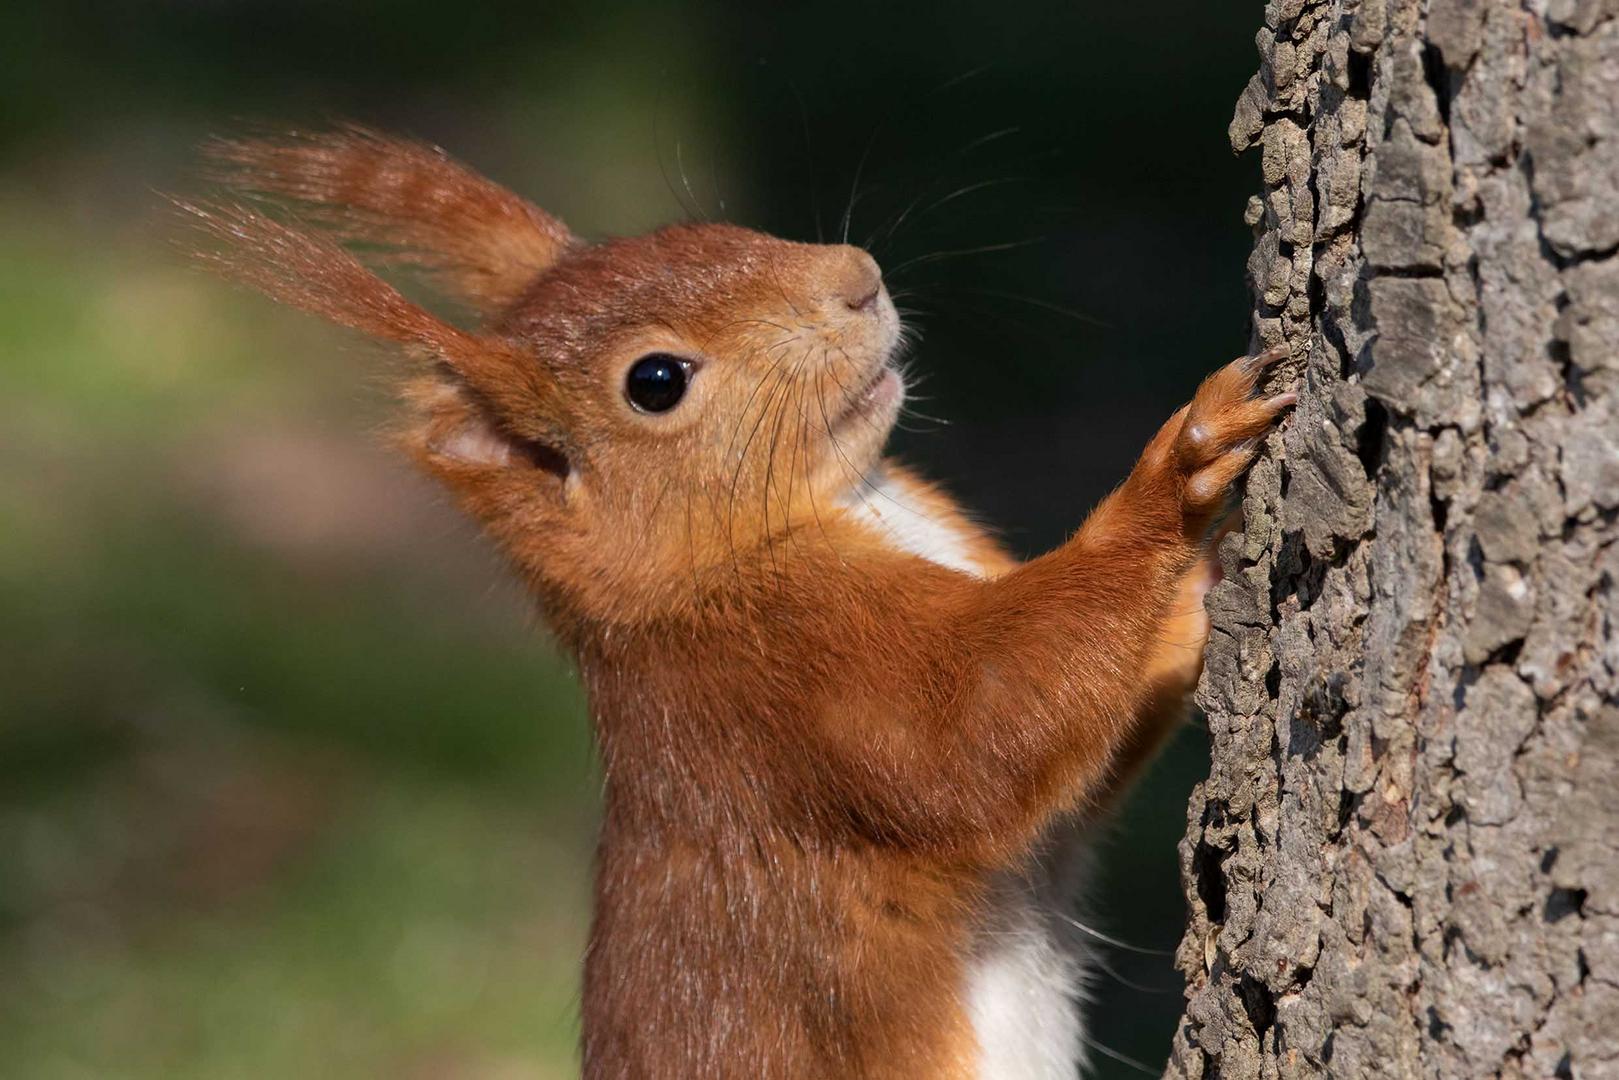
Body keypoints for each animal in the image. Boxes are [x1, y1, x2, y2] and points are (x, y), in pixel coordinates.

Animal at [180, 128, 1288, 1080]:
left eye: (704, 232)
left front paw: (1210, 579)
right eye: (655, 380)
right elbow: (980, 730)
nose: (856, 278)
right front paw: (1177, 474)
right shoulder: (787, 691)